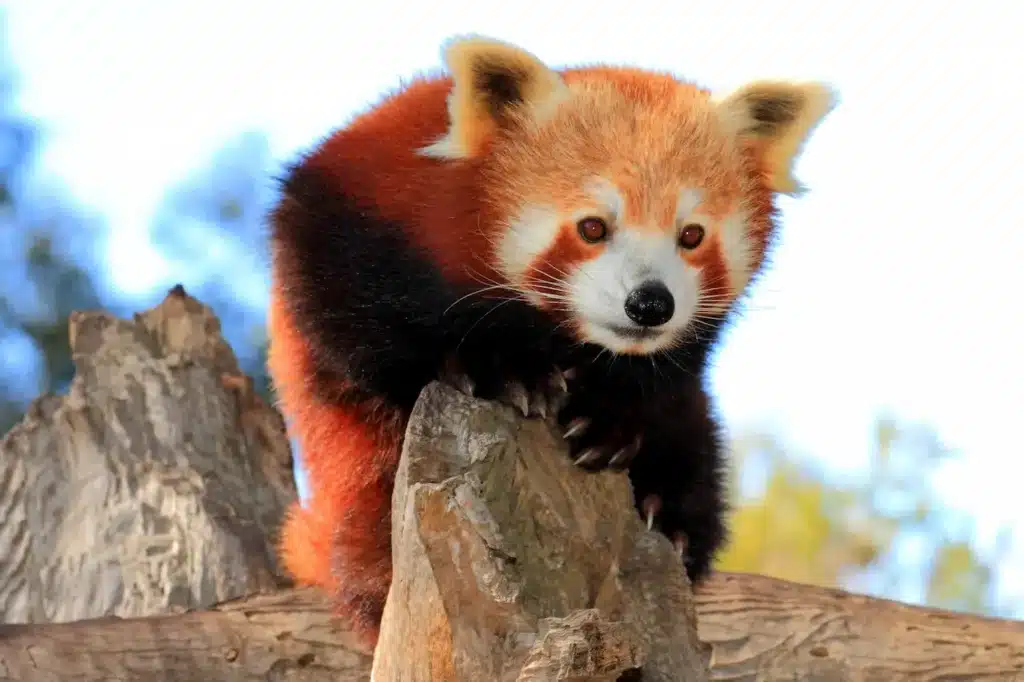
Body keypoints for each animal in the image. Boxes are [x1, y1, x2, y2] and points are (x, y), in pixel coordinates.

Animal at [268, 34, 835, 647]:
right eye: (592, 227)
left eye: (691, 236)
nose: (650, 304)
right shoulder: (355, 210)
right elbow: (356, 325)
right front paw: (497, 369)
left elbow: (660, 378)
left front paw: (611, 419)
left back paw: (670, 512)